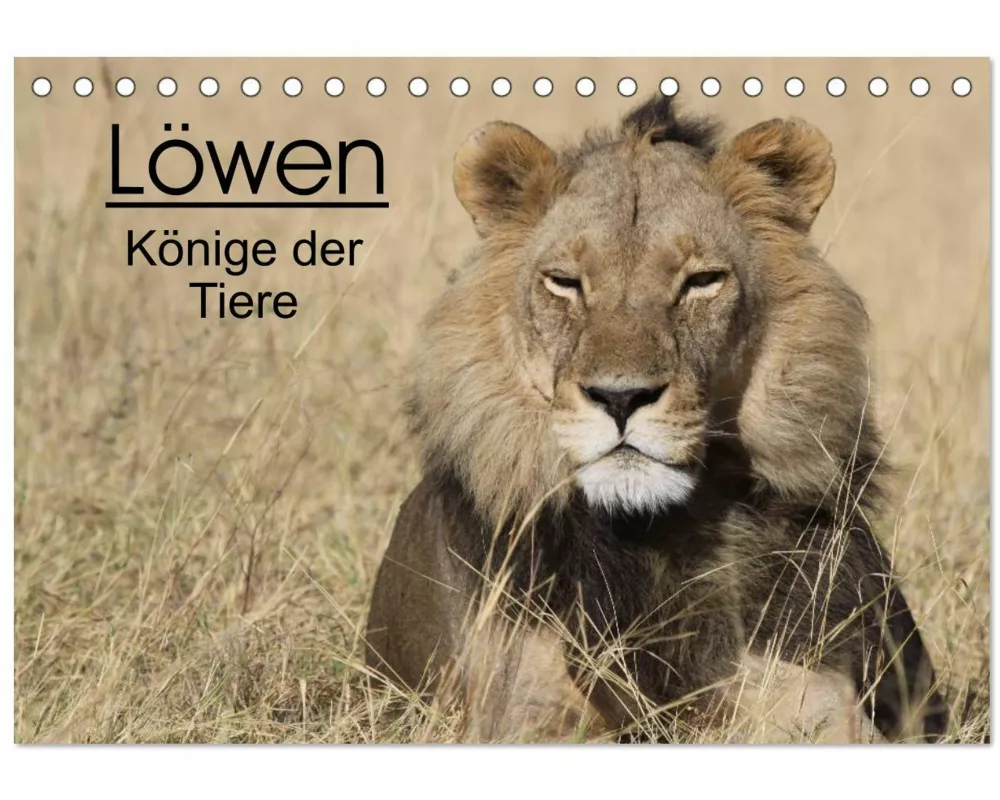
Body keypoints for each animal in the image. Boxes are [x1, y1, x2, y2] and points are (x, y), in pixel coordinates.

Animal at [365, 95, 948, 743]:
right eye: (564, 283)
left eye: (701, 281)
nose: (621, 398)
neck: (650, 536)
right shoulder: (515, 711)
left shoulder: (817, 701)